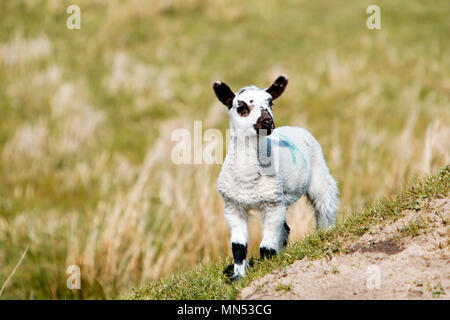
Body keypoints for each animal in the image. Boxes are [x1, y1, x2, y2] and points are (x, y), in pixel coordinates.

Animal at [213, 75, 340, 280]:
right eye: (241, 107)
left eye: (270, 102)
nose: (267, 122)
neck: (247, 180)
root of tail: (294, 127)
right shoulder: (233, 206)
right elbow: (238, 247)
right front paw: (237, 278)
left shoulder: (272, 204)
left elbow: (266, 247)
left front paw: (266, 269)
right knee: (285, 228)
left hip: (319, 174)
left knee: (325, 206)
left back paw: (325, 233)